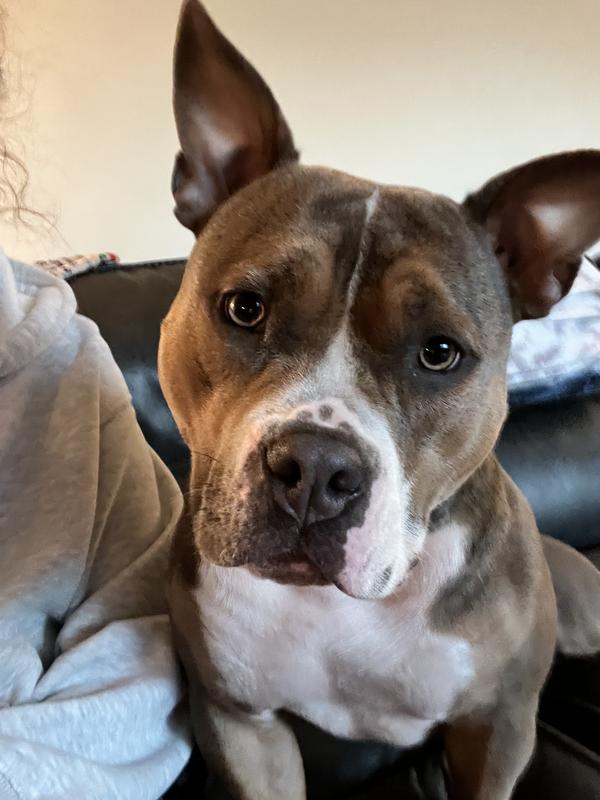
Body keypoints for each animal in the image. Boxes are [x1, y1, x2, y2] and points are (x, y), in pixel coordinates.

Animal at [158, 2, 600, 798]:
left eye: (439, 351)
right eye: (245, 308)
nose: (315, 471)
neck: (341, 608)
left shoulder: (499, 726)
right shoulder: (242, 725)